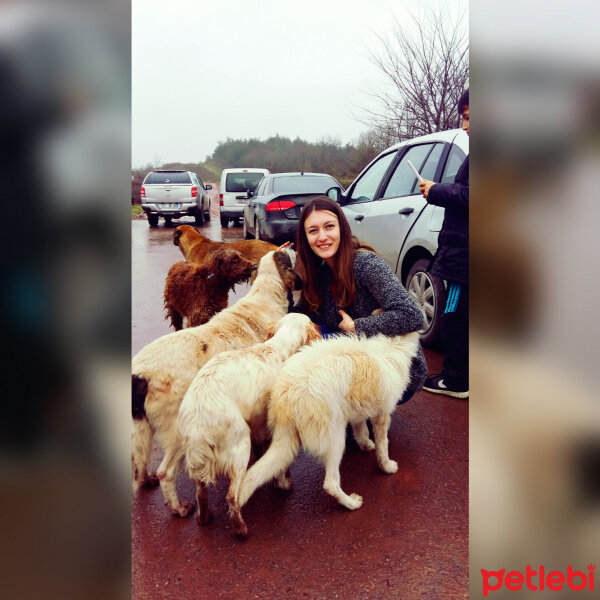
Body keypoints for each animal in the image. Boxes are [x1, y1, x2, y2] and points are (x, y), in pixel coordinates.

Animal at [132, 248, 298, 516]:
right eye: (284, 254)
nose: (292, 245)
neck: (265, 295)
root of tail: (139, 373)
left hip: (142, 426)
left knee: (138, 459)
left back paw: (147, 481)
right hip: (178, 431)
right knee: (166, 472)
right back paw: (179, 508)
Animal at [176, 312, 322, 536]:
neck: (277, 348)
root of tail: (197, 424)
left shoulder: (257, 421)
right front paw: (283, 481)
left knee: (200, 492)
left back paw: (205, 517)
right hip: (240, 447)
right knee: (232, 496)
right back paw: (240, 529)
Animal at [237, 332, 420, 520]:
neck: (392, 345)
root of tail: (289, 396)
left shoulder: (356, 410)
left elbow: (361, 429)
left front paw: (366, 445)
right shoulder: (382, 415)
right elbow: (383, 447)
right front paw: (387, 467)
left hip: (288, 439)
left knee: (277, 466)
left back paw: (283, 484)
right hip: (335, 440)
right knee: (330, 484)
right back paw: (351, 503)